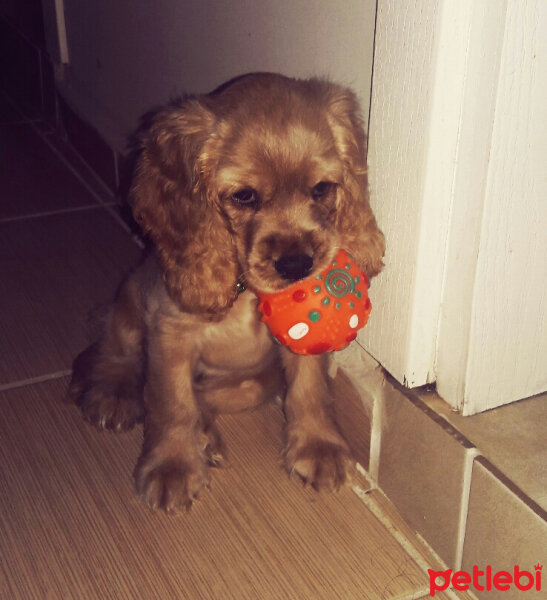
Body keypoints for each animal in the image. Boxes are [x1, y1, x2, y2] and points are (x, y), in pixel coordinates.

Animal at [67, 72, 386, 512]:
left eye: (322, 188)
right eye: (245, 196)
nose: (297, 266)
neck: (245, 292)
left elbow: (310, 387)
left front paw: (319, 447)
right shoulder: (170, 334)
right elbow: (172, 402)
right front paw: (172, 466)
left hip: (253, 385)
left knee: (206, 399)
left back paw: (206, 438)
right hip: (130, 299)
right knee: (117, 352)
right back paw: (113, 396)